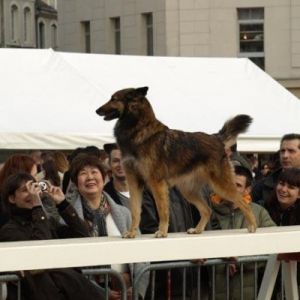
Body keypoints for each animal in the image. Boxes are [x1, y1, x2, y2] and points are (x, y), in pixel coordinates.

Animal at [96, 86, 258, 239]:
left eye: (113, 98)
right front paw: (131, 233)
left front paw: (162, 232)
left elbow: (162, 211)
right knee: (207, 210)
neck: (138, 129)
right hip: (188, 190)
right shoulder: (134, 182)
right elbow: (135, 211)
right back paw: (198, 230)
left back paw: (252, 226)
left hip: (221, 185)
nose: (97, 110)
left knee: (243, 203)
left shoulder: (157, 183)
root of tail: (215, 138)